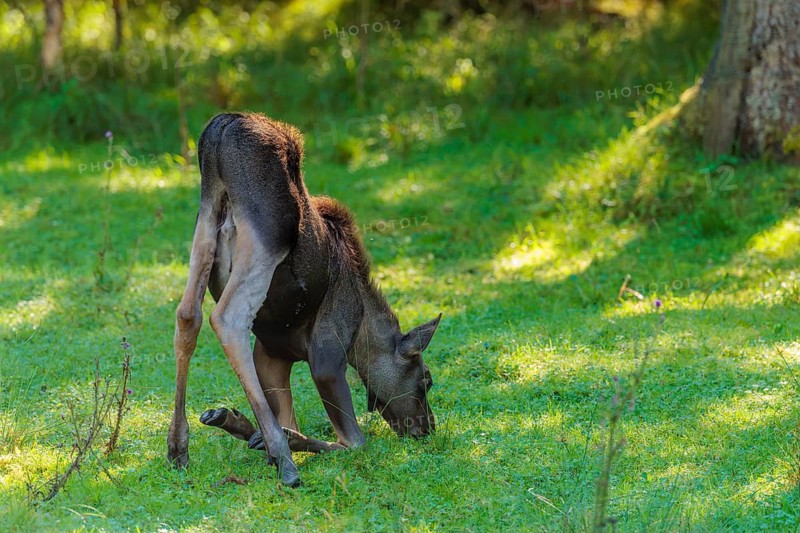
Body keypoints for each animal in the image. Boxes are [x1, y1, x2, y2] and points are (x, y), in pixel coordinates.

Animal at [167, 112, 441, 487]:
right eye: (426, 379)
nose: (426, 428)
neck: (363, 335)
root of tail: (220, 131)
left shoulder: (271, 355)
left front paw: (242, 426)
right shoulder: (328, 350)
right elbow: (354, 442)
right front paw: (277, 442)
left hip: (205, 222)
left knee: (187, 315)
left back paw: (178, 446)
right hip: (268, 235)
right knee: (227, 318)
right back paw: (284, 460)